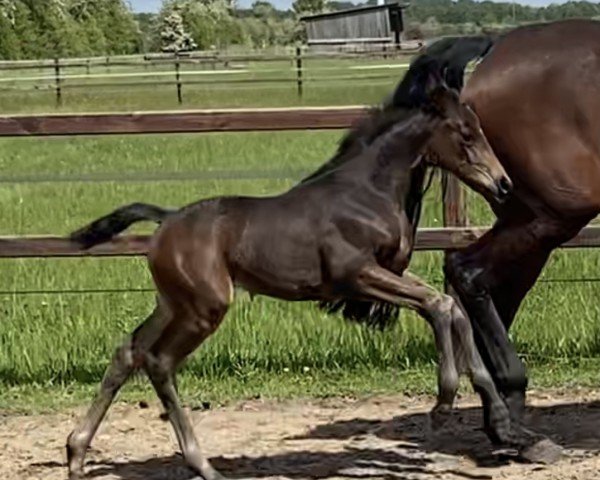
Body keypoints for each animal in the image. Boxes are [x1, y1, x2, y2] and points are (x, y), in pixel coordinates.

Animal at [64, 57, 516, 480]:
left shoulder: (386, 272)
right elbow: (437, 305)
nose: (504, 184)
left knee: (130, 350)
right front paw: (443, 403)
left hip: (174, 303)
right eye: (465, 133)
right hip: (204, 309)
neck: (366, 193)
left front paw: (498, 415)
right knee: (158, 361)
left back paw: (76, 453)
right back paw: (202, 464)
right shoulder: (355, 275)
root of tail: (167, 219)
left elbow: (450, 307)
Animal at [424, 19, 600, 462]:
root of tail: (497, 47)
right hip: (555, 214)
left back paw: (508, 424)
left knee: (490, 292)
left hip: (523, 215)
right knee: (467, 272)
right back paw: (512, 421)